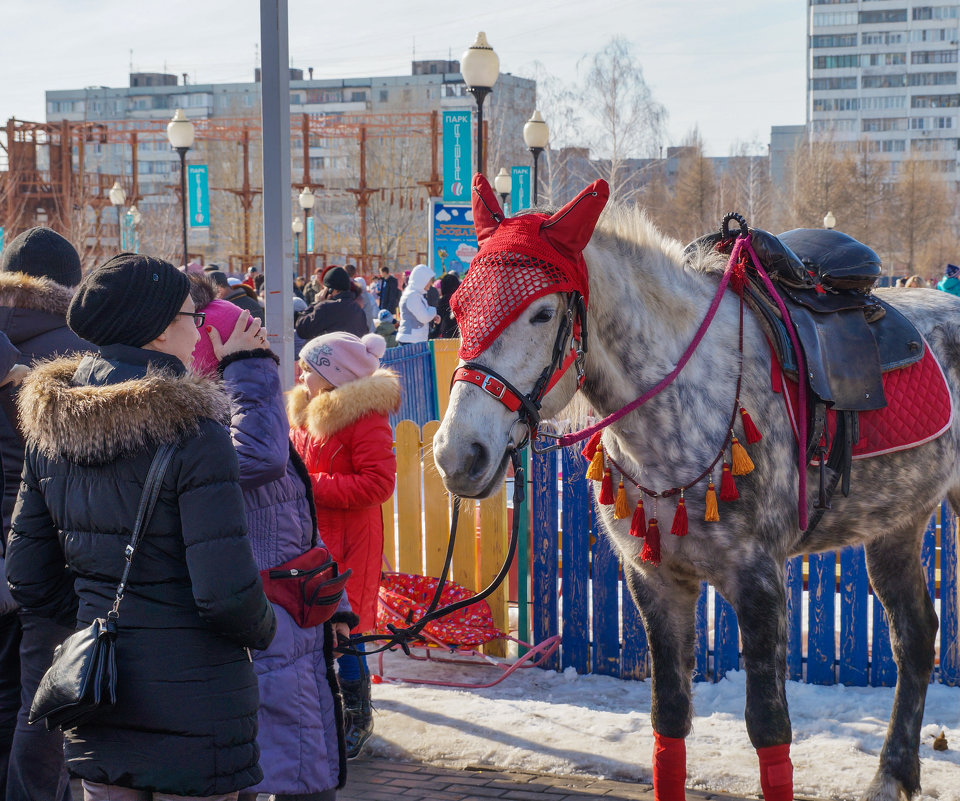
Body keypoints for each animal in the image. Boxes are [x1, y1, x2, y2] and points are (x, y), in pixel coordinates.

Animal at [434, 177, 960, 800]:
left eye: (541, 313)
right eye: (458, 308)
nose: (457, 455)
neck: (684, 396)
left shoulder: (760, 582)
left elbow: (769, 727)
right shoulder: (655, 581)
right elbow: (669, 717)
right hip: (895, 525)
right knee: (916, 637)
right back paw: (893, 773)